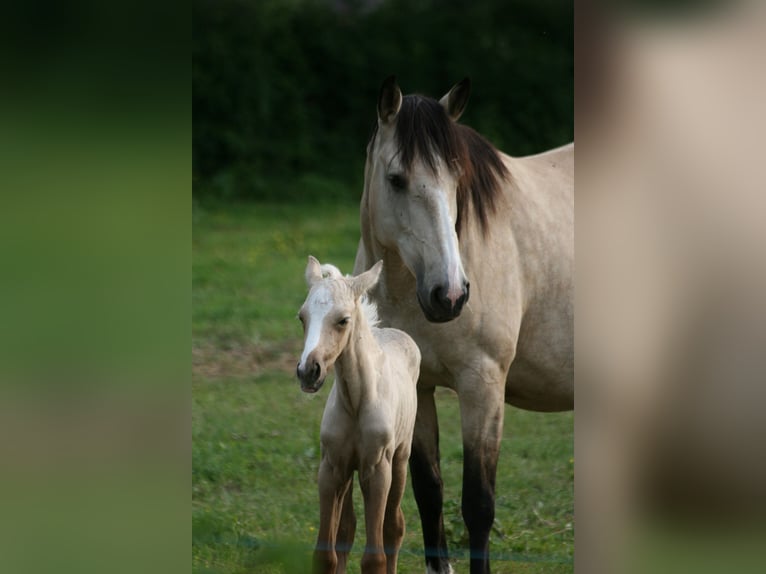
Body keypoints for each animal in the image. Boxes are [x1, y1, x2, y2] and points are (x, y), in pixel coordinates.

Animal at [298, 258, 420, 574]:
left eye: (343, 320)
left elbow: (375, 557)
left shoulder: (377, 469)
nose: (307, 371)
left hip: (400, 459)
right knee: (347, 529)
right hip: (348, 470)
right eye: (302, 317)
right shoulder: (331, 466)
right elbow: (327, 553)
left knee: (394, 527)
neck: (356, 401)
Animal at [356, 77, 572, 574]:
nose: (449, 294)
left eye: (457, 180)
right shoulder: (417, 389)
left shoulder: (482, 386)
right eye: (396, 180)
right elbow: (428, 492)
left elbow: (478, 503)